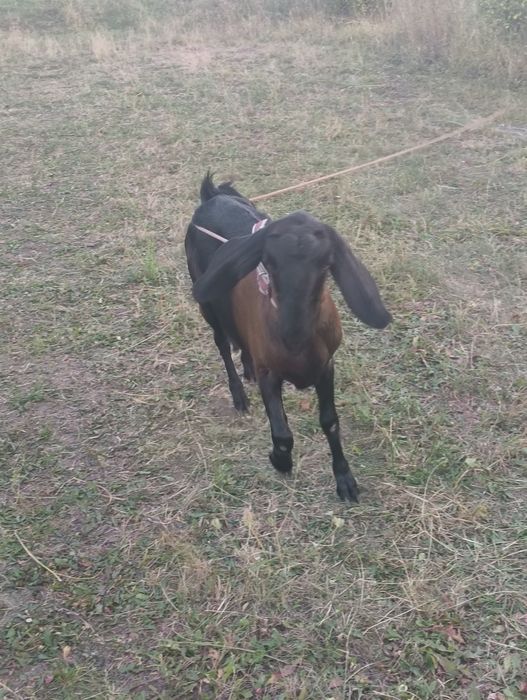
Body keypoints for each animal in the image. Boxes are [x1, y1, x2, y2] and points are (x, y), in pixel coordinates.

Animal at [185, 173, 391, 502]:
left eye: (326, 265)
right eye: (267, 261)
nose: (292, 333)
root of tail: (212, 195)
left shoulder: (326, 366)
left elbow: (330, 422)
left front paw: (344, 479)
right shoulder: (270, 373)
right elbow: (282, 433)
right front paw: (280, 461)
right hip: (208, 304)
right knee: (222, 345)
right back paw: (239, 394)